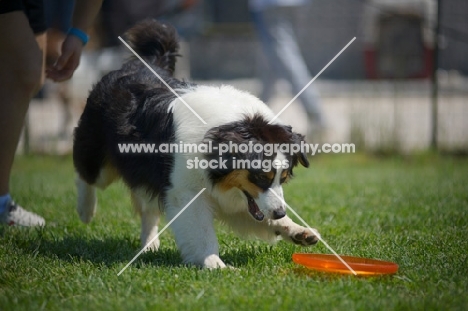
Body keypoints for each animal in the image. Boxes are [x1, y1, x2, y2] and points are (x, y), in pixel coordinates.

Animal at [73, 20, 320, 268]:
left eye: (284, 178)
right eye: (260, 177)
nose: (280, 213)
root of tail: (141, 64)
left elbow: (258, 212)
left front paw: (297, 230)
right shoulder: (185, 192)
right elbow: (201, 232)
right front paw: (214, 264)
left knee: (147, 205)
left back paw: (149, 245)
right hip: (100, 158)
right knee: (86, 174)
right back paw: (86, 210)